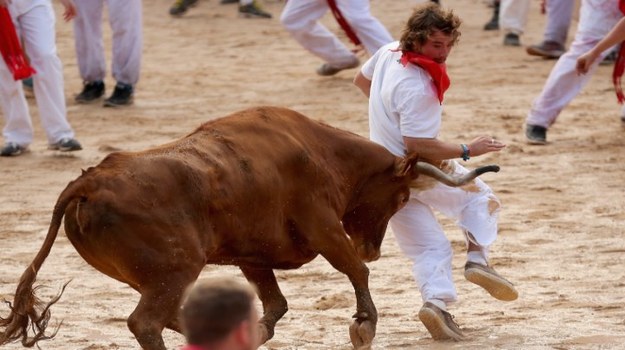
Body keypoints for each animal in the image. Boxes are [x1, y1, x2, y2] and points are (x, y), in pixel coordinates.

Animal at [0, 106, 498, 348]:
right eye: (401, 198)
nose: (373, 246)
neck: (319, 149)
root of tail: (88, 182)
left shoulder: (251, 257)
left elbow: (276, 305)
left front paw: (257, 332)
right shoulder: (323, 226)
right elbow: (356, 271)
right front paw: (364, 325)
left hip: (161, 275)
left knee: (171, 317)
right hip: (175, 270)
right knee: (146, 323)